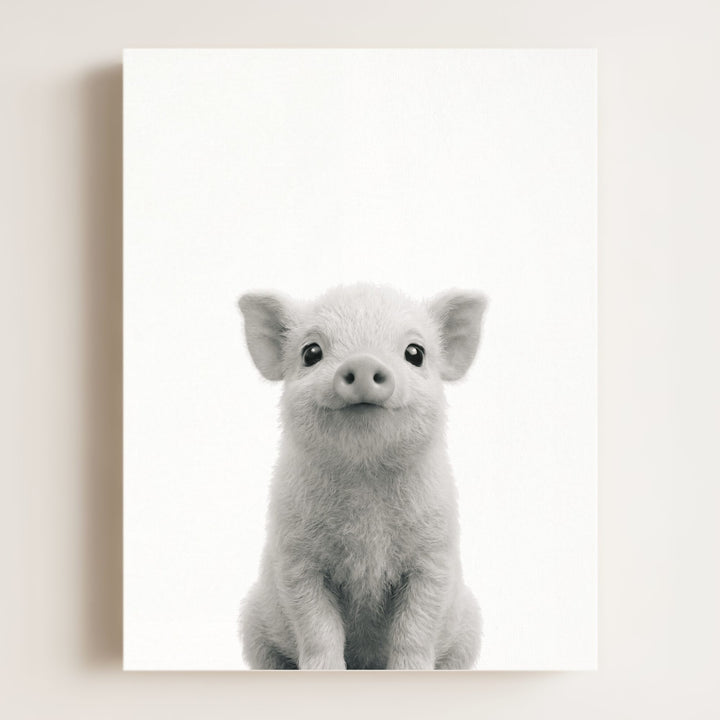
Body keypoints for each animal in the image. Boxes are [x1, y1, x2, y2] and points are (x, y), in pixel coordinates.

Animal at [237, 284, 487, 670]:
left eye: (415, 353)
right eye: (311, 353)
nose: (363, 361)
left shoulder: (434, 556)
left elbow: (416, 627)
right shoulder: (296, 558)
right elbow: (317, 627)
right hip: (253, 626)